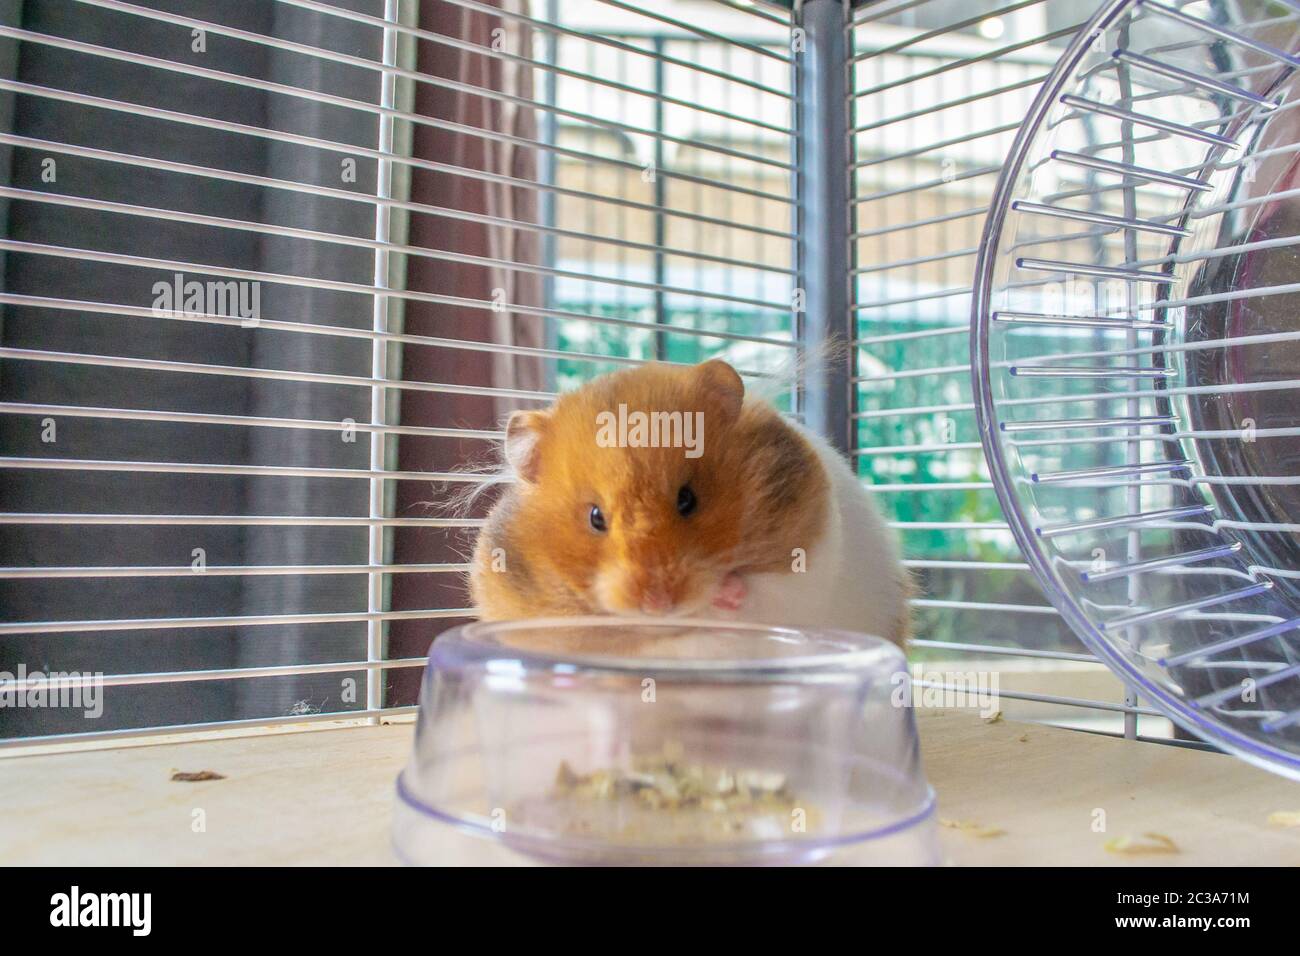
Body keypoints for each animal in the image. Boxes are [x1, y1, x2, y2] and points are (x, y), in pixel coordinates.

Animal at [469, 359, 911, 645]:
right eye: (596, 518)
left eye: (688, 499)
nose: (659, 603)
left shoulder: (807, 562)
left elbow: (760, 594)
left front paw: (725, 593)